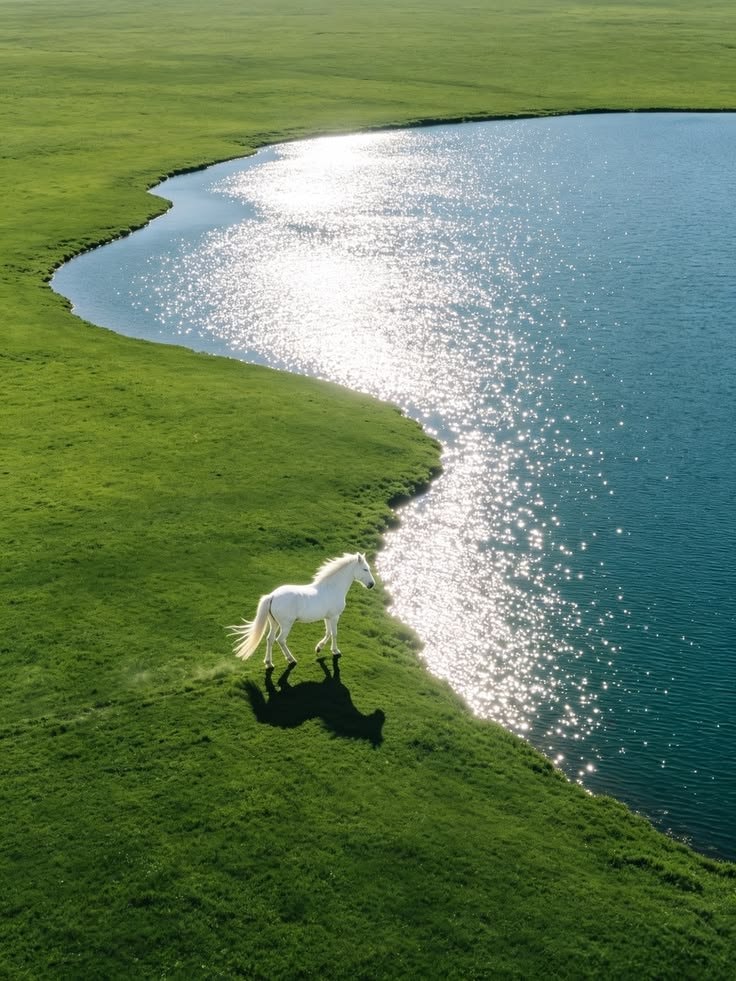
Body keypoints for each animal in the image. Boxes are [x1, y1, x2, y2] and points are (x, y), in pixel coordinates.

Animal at [227, 552, 376, 667]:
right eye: (365, 569)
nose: (371, 585)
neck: (332, 588)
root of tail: (272, 596)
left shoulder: (327, 617)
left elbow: (328, 633)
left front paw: (319, 648)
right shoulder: (334, 616)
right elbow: (334, 633)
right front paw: (335, 651)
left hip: (274, 623)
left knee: (270, 639)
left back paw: (269, 663)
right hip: (286, 625)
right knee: (280, 640)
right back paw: (291, 659)